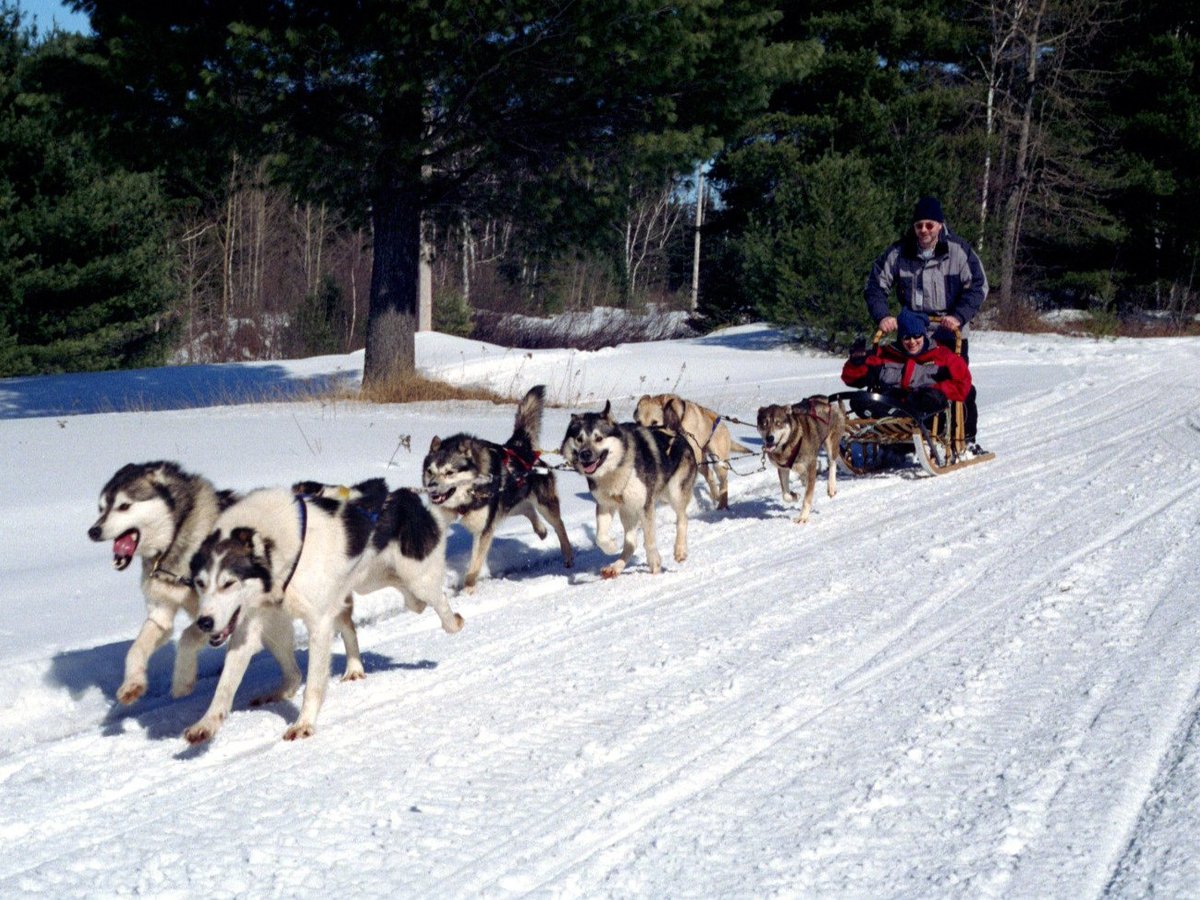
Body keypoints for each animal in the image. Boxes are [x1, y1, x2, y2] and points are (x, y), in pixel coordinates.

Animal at [422, 386, 571, 592]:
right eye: (430, 471)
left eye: (450, 472)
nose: (432, 487)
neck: (467, 497)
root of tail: (520, 448)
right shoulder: (443, 520)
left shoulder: (484, 530)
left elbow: (474, 567)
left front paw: (468, 590)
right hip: (508, 503)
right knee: (526, 508)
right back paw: (540, 530)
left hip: (544, 505)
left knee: (559, 525)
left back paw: (568, 555)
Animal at [559, 400, 700, 580]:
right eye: (579, 439)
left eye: (599, 438)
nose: (585, 454)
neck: (614, 470)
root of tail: (675, 432)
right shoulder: (605, 505)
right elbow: (600, 538)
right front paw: (611, 546)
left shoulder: (645, 505)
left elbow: (649, 540)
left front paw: (654, 563)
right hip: (627, 511)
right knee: (631, 543)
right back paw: (615, 567)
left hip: (675, 493)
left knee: (682, 519)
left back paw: (680, 550)